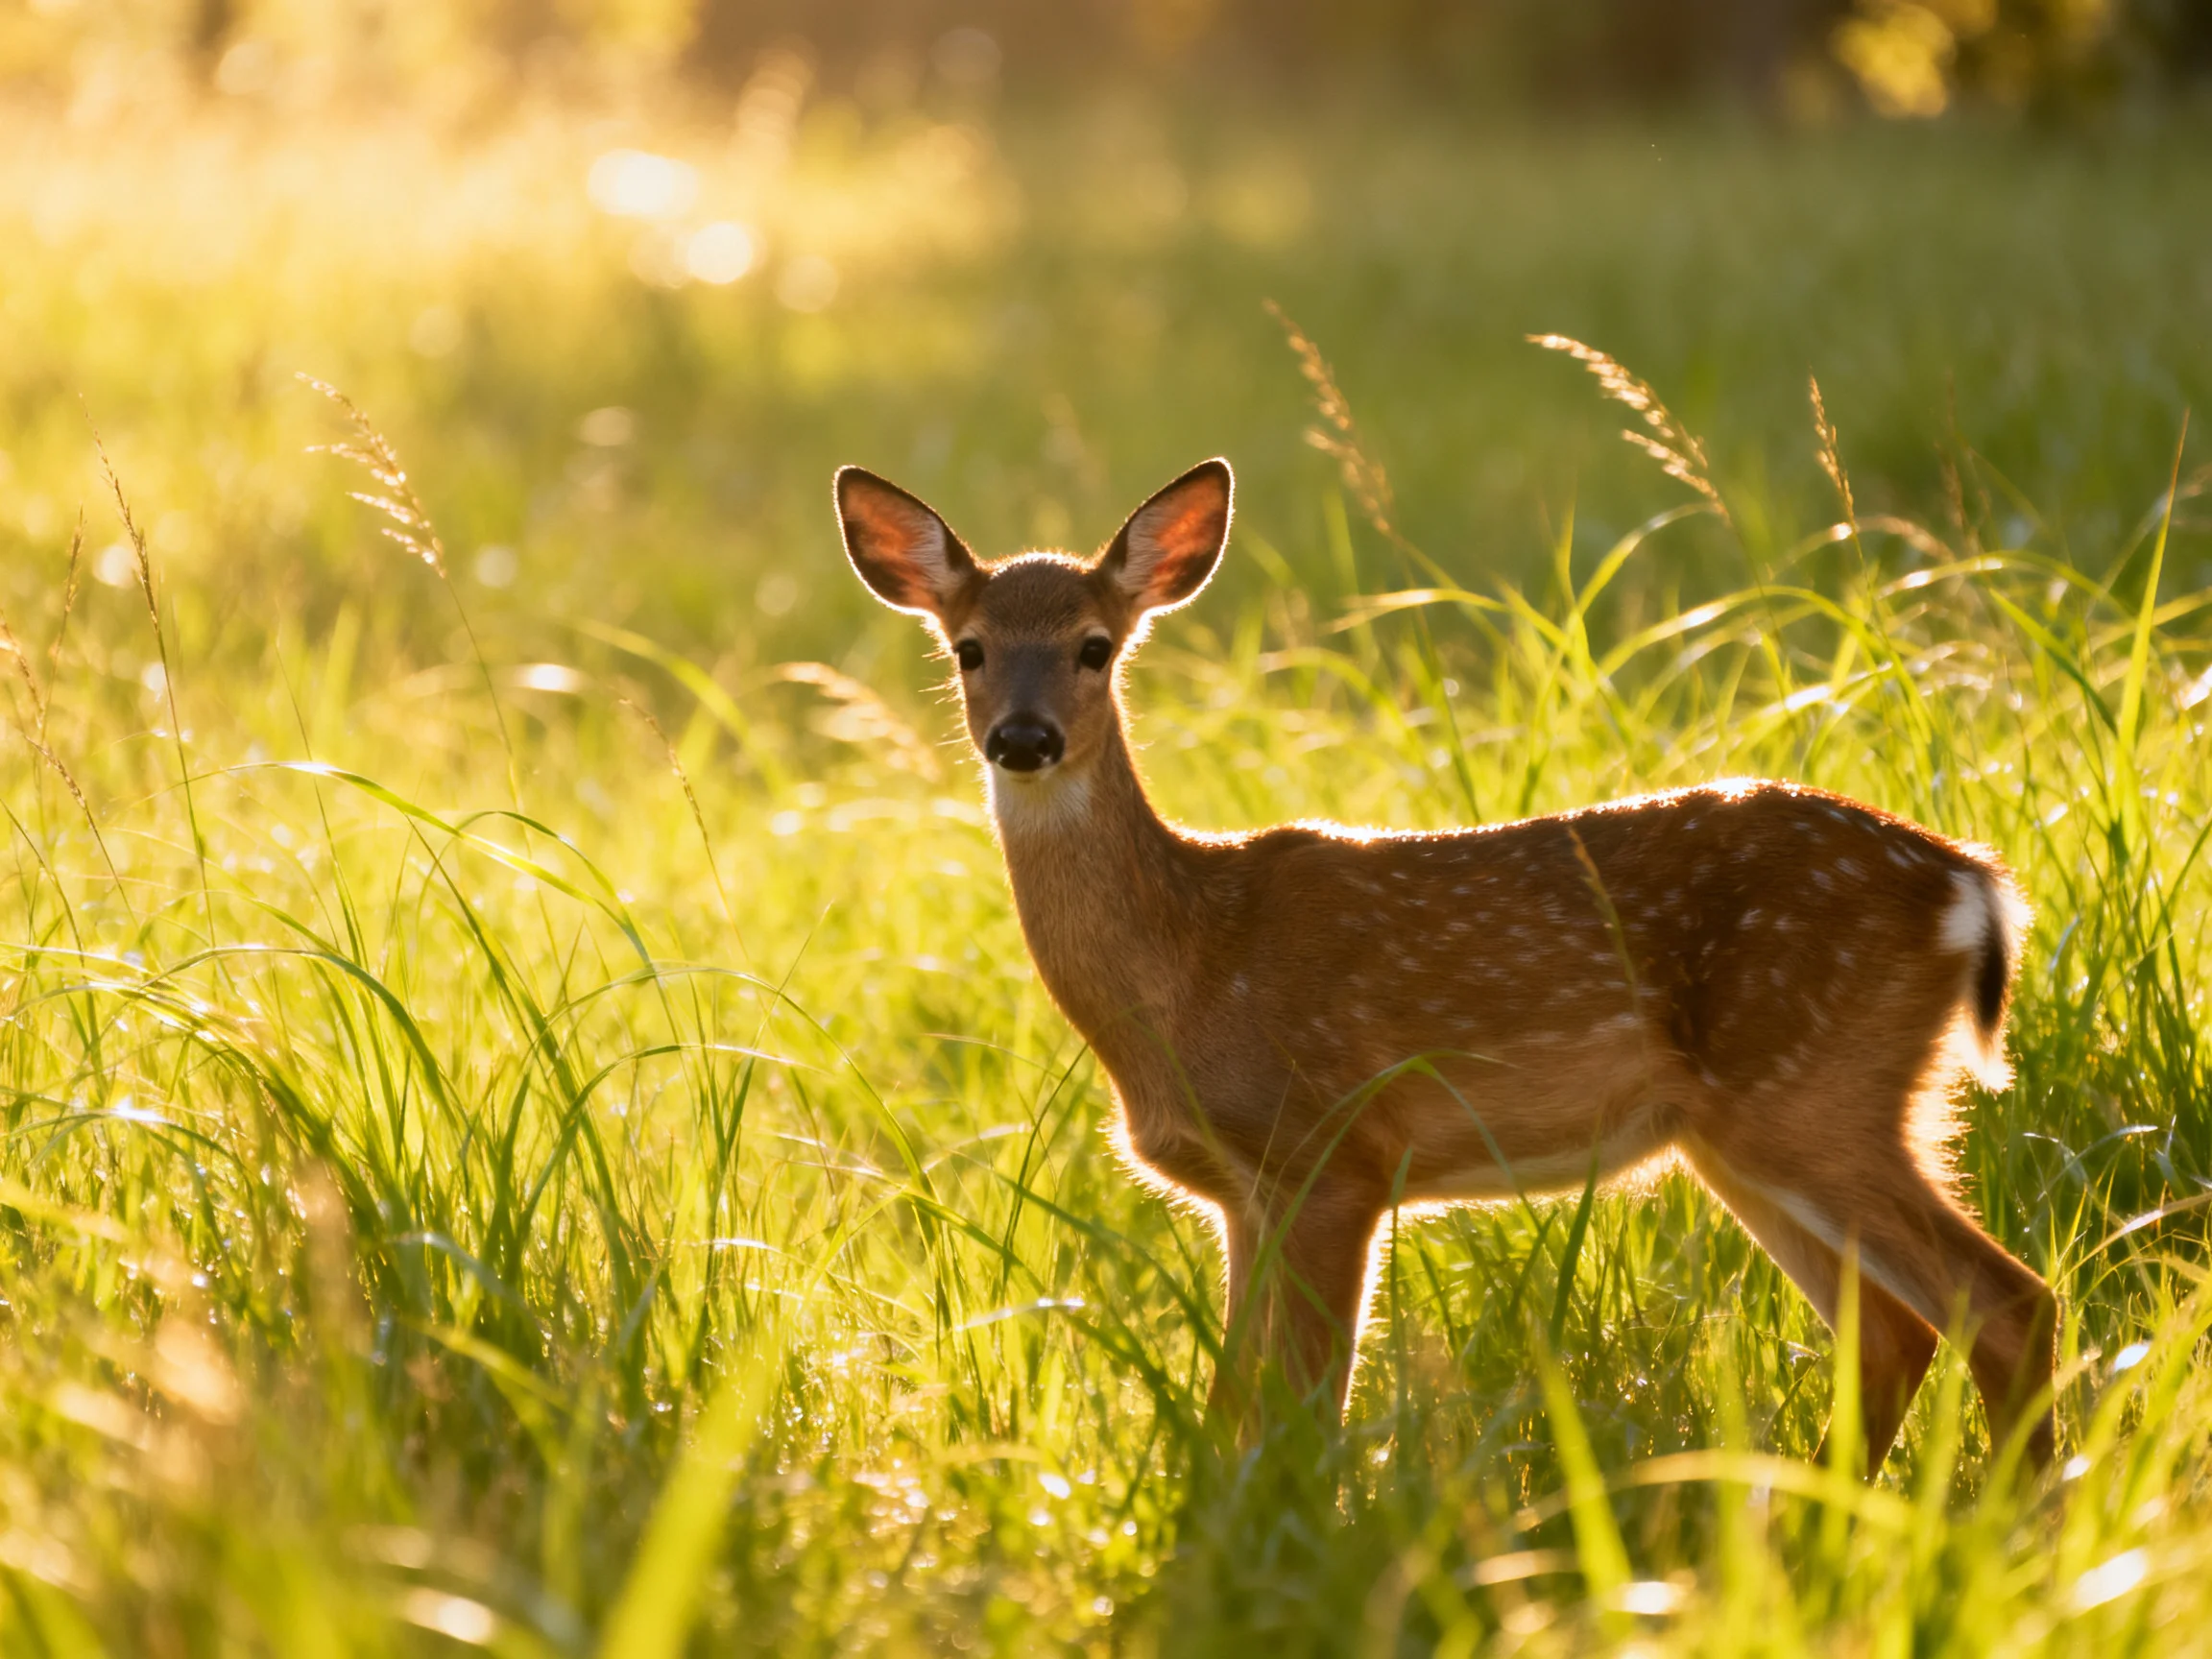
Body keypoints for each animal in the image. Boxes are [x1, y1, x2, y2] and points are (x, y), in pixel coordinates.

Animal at [833, 456, 2057, 1474]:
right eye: (969, 649)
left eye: (1096, 646)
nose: (1024, 738)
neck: (1190, 967)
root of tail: (1972, 884)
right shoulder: (1243, 1192)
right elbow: (1232, 1405)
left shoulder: (1335, 1154)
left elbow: (1303, 1410)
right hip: (1749, 1132)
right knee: (1893, 1330)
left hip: (1813, 1090)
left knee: (2008, 1305)